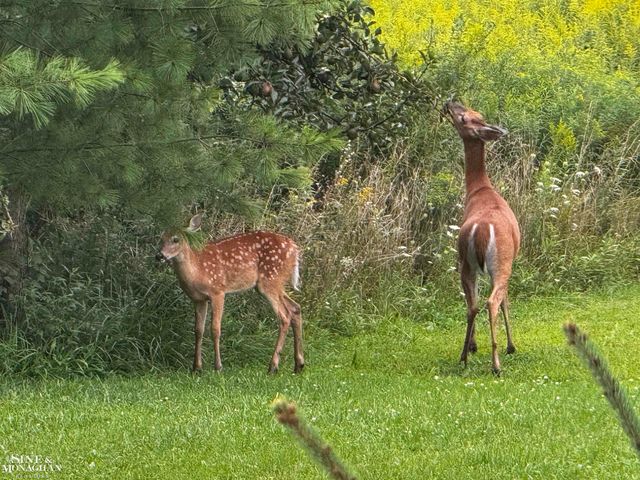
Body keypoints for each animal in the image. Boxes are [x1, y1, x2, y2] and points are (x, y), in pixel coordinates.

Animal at [156, 214, 304, 374]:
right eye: (160, 238)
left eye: (176, 239)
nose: (159, 256)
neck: (197, 270)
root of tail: (295, 248)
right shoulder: (198, 299)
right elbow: (198, 330)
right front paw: (196, 368)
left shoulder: (218, 291)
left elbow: (215, 329)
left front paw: (218, 367)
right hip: (273, 284)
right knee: (295, 308)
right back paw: (299, 365)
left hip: (270, 279)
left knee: (284, 316)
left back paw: (273, 366)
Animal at [444, 101, 520, 375]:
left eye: (466, 115)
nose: (450, 102)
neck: (480, 189)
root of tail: (481, 229)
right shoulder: (510, 260)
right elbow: (507, 300)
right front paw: (511, 346)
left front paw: (476, 346)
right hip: (501, 260)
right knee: (492, 301)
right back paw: (495, 363)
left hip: (466, 262)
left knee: (473, 304)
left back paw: (465, 355)